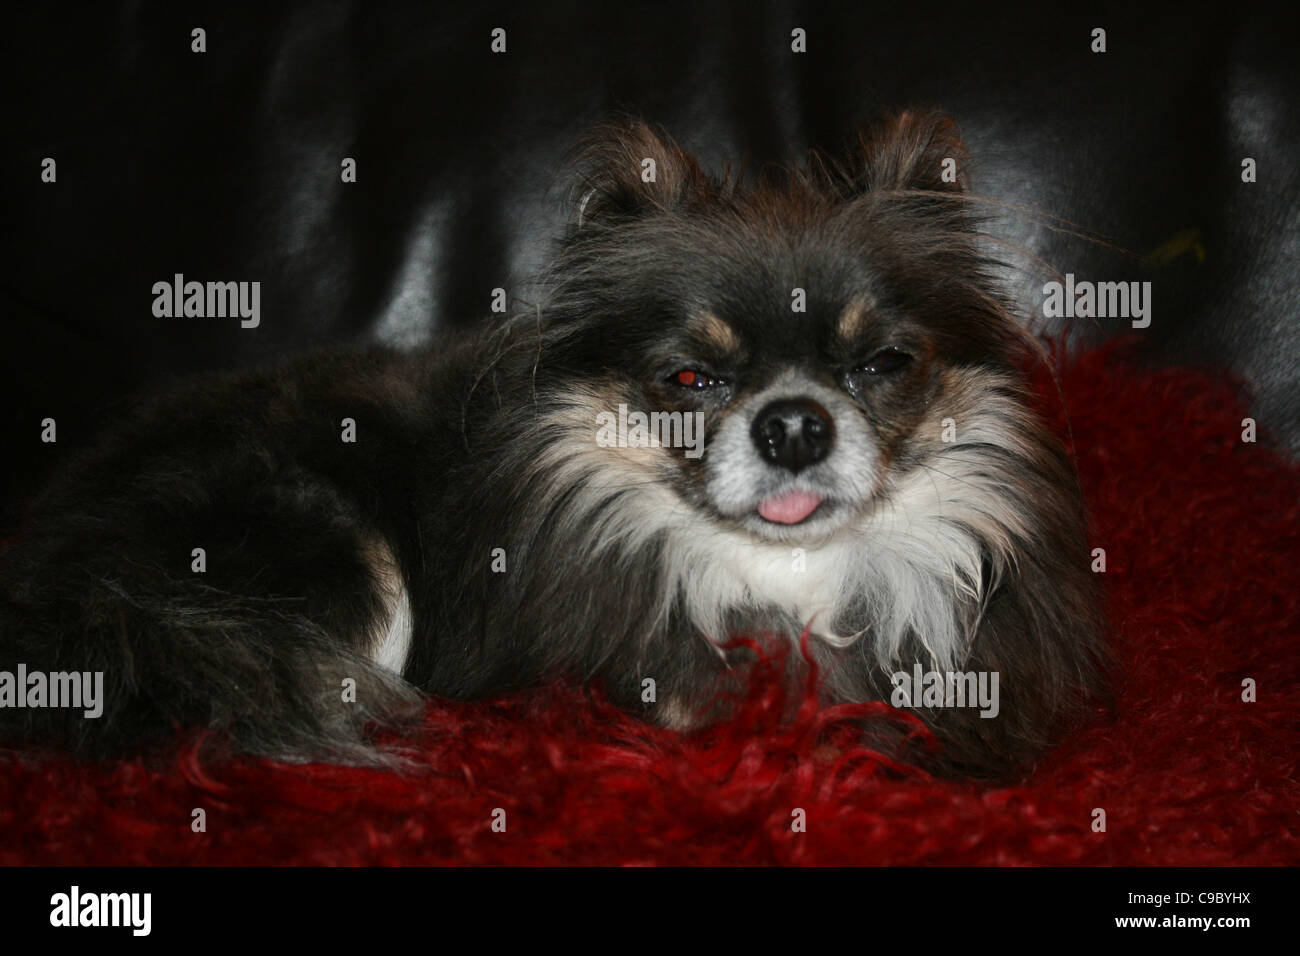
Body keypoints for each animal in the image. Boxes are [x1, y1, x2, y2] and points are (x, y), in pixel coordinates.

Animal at [0, 111, 1112, 780]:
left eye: (881, 363)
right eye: (690, 380)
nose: (794, 423)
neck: (784, 581)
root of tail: (60, 579)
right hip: (329, 542)